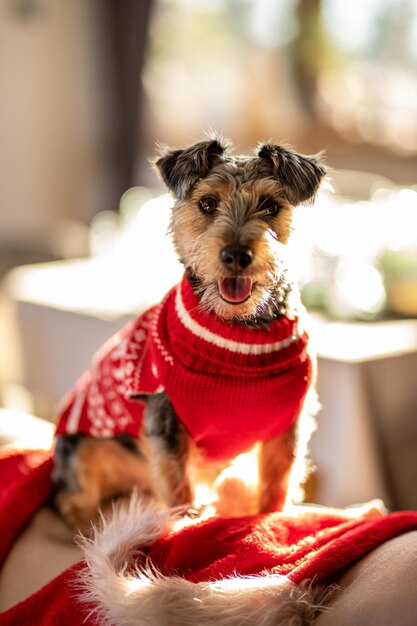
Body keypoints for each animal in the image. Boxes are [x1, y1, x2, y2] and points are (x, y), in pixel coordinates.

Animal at [52, 136, 324, 532]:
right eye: (207, 204)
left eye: (271, 206)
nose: (236, 254)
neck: (239, 332)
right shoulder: (165, 420)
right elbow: (178, 484)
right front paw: (185, 524)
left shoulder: (287, 424)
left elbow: (277, 484)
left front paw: (270, 521)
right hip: (82, 448)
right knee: (70, 501)